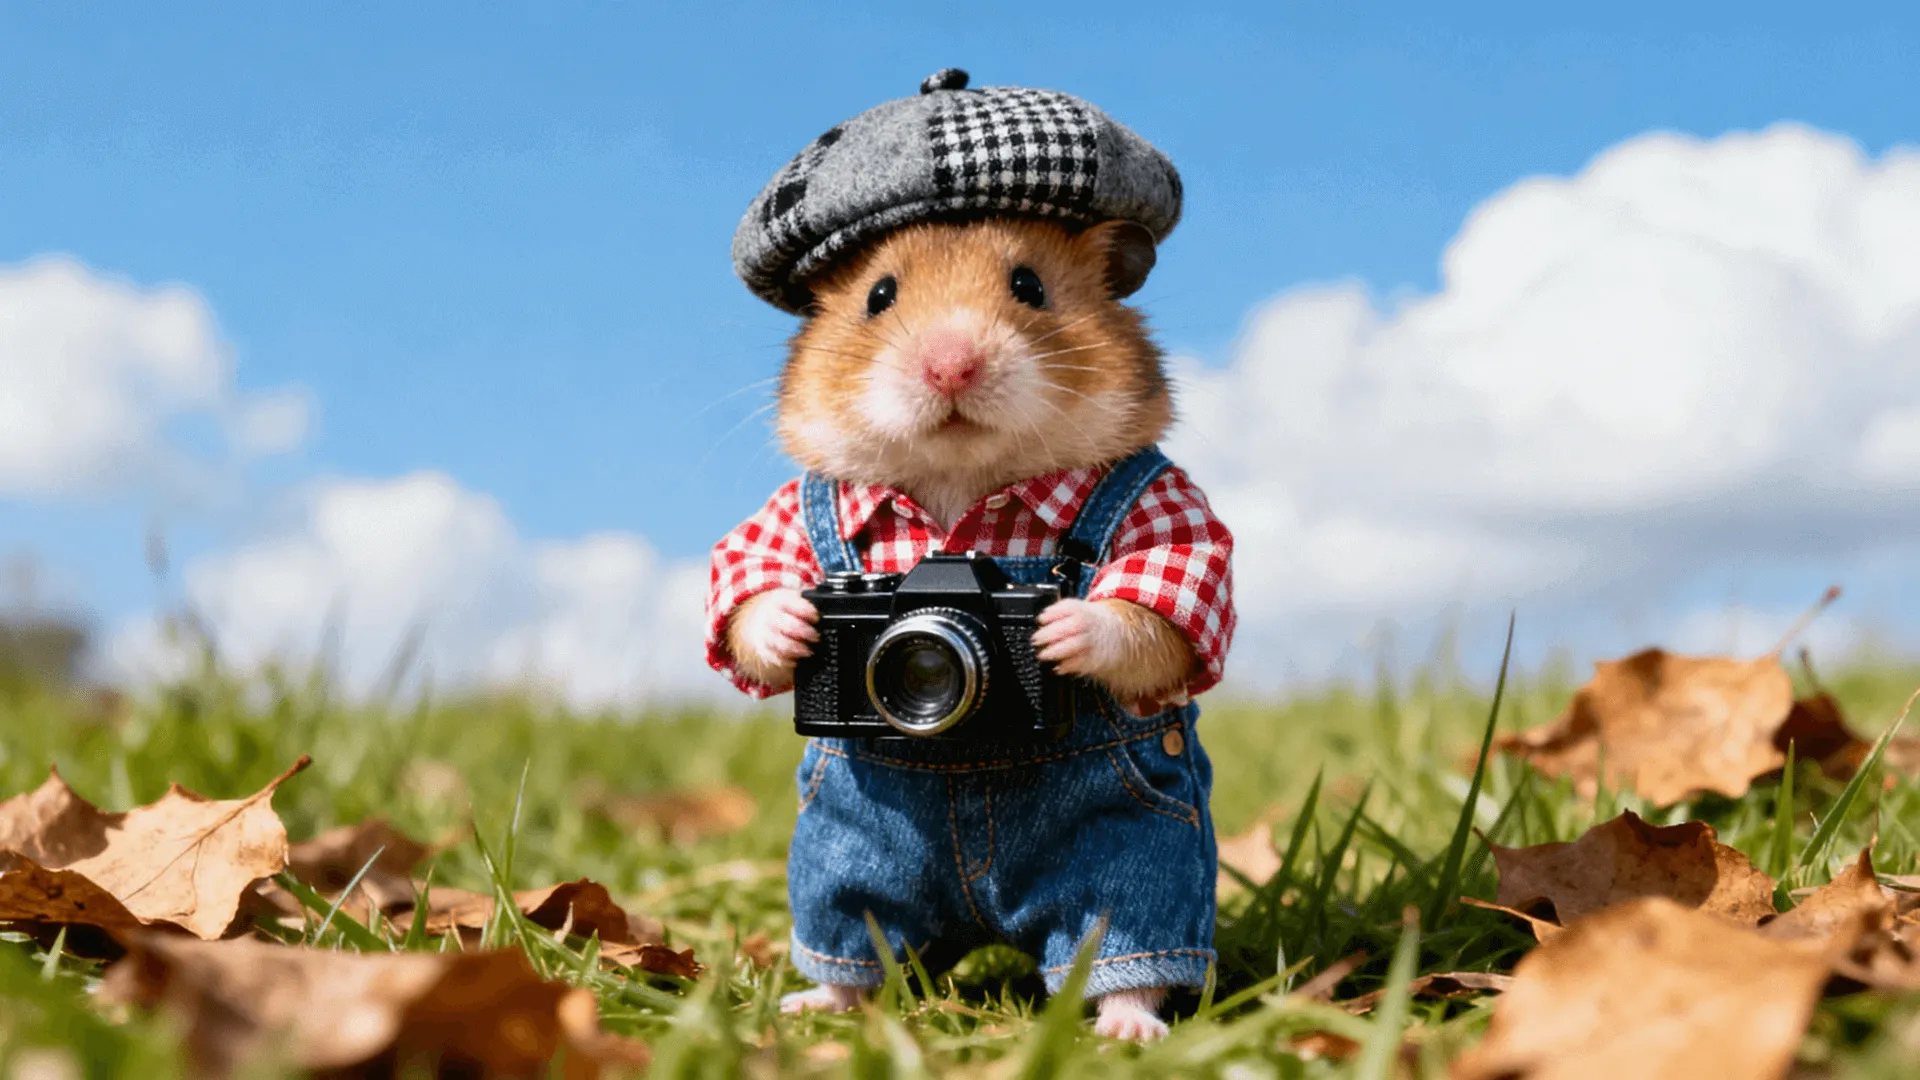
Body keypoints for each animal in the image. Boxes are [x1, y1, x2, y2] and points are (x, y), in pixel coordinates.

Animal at [726, 217, 1198, 713]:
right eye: (878, 295)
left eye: (1029, 286)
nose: (951, 369)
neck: (957, 477)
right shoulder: (785, 514)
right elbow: (740, 584)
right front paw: (792, 622)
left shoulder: (1168, 513)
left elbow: (1159, 615)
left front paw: (1061, 631)